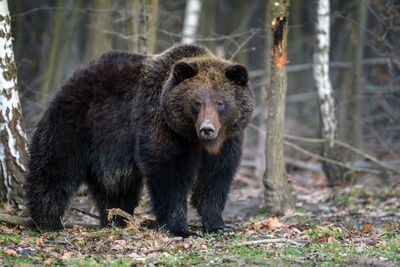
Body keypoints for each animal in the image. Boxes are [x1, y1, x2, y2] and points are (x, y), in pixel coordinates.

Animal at [26, 44, 255, 239]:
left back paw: (116, 219)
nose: (207, 129)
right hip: (76, 124)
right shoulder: (162, 127)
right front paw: (180, 229)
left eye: (220, 103)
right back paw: (46, 222)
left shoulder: (226, 142)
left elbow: (215, 179)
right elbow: (169, 173)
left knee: (116, 187)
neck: (194, 139)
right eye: (196, 102)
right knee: (54, 171)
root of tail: (74, 76)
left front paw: (220, 226)